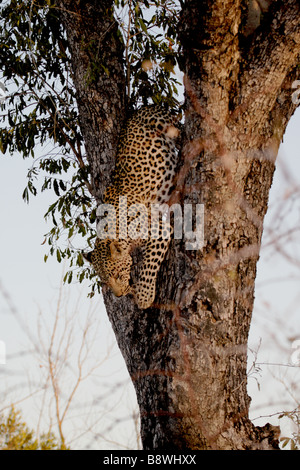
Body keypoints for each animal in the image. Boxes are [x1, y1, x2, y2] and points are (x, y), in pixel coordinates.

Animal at [83, 107, 180, 312]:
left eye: (118, 275)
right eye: (104, 281)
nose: (120, 295)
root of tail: (138, 111)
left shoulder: (159, 230)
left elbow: (149, 264)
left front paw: (144, 295)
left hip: (161, 120)